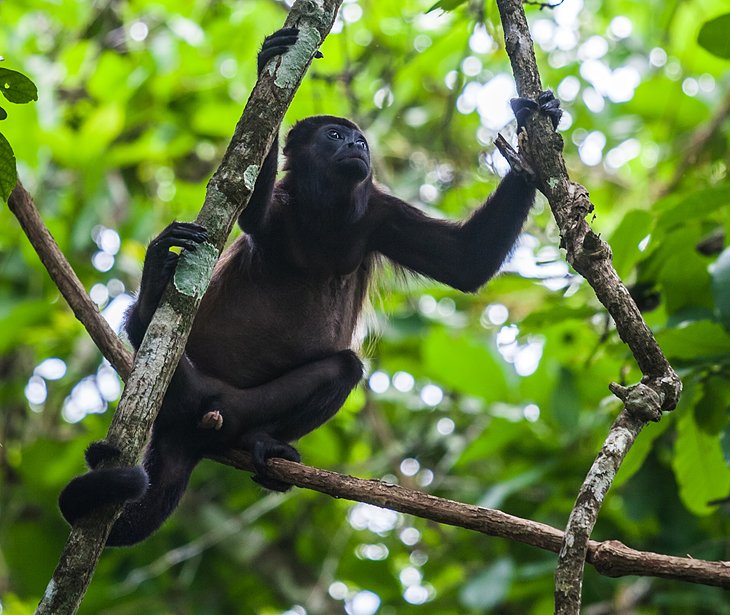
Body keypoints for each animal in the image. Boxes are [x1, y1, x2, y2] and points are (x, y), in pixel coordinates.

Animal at [59, 30, 560, 548]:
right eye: (334, 135)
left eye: (359, 138)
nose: (358, 143)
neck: (327, 209)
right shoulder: (283, 207)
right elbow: (247, 203)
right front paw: (270, 57)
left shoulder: (380, 213)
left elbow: (466, 262)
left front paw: (535, 128)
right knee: (143, 327)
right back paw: (154, 286)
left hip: (242, 408)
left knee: (343, 367)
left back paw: (259, 442)